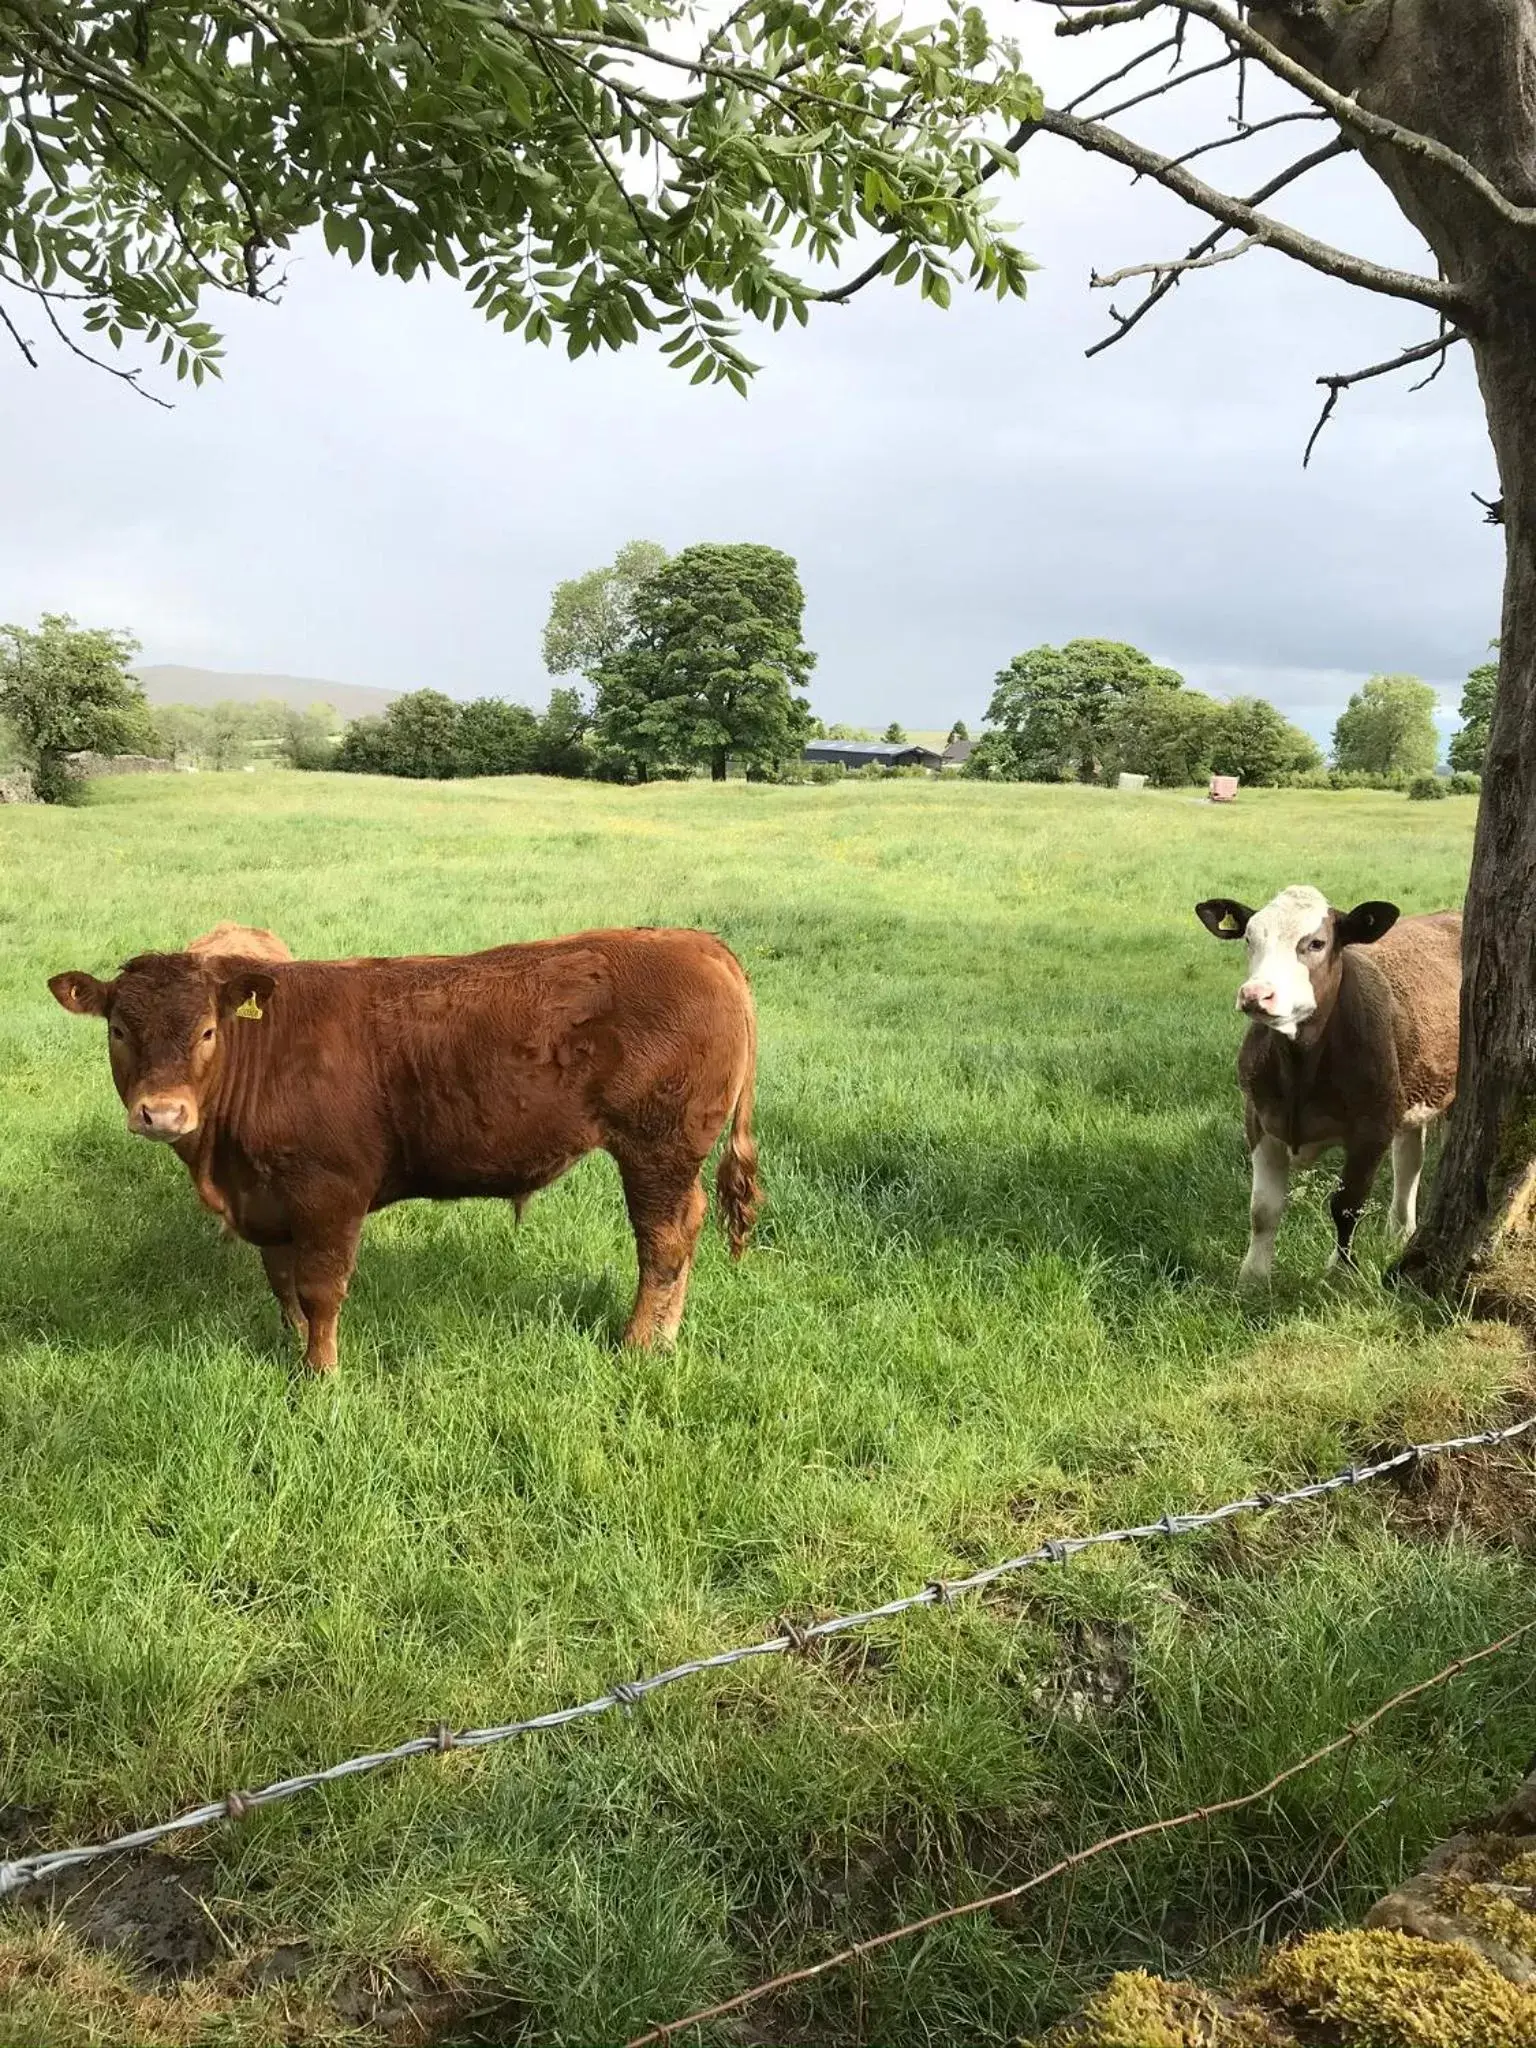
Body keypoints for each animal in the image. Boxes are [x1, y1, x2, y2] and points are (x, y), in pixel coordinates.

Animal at [51, 937, 761, 1368]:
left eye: (205, 1031)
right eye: (118, 1030)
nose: (162, 1113)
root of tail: (695, 943)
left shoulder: (330, 1193)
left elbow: (321, 1289)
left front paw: (320, 1374)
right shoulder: (269, 1199)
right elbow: (282, 1283)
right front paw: (290, 1347)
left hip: (657, 1149)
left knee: (662, 1242)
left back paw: (637, 1344)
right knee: (685, 1231)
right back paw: (664, 1339)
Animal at [1196, 880, 1458, 1277]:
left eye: (1316, 943)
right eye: (1249, 939)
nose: (1255, 994)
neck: (1299, 1067)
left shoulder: (1372, 1127)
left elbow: (1347, 1205)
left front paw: (1341, 1271)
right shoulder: (1257, 1117)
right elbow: (1263, 1209)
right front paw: (1252, 1278)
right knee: (1409, 1159)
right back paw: (1400, 1232)